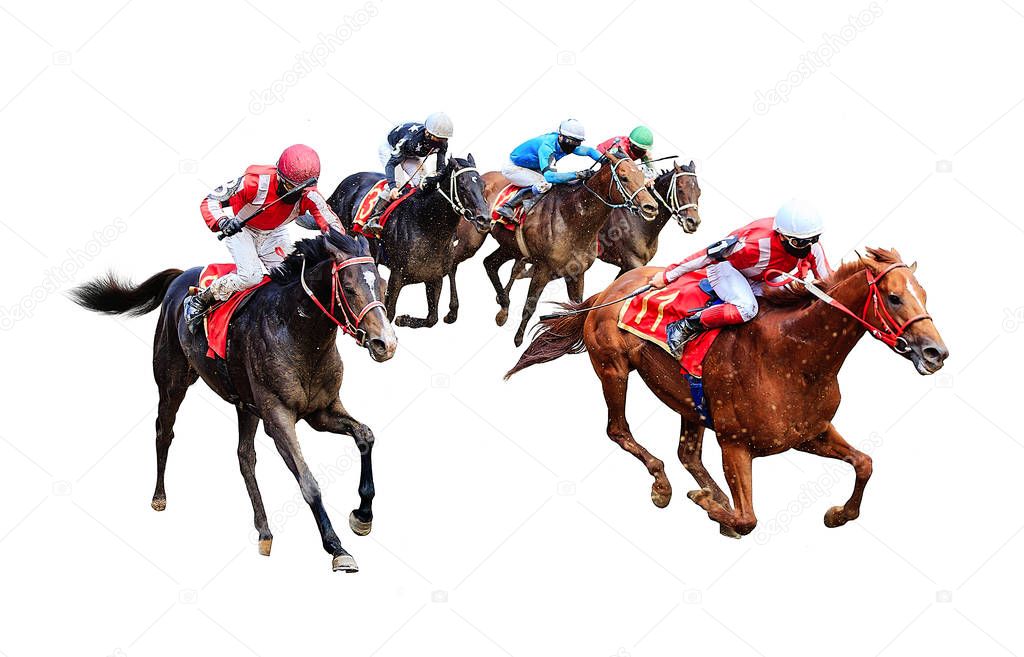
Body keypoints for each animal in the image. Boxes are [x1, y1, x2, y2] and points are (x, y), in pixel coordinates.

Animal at [69, 229, 395, 568]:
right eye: (349, 287)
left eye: (383, 285)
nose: (386, 343)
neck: (298, 331)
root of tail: (180, 277)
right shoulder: (278, 417)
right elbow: (309, 482)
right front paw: (337, 548)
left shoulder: (322, 411)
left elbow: (365, 435)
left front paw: (363, 515)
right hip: (172, 382)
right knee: (164, 431)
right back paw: (159, 497)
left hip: (245, 404)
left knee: (244, 456)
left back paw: (264, 531)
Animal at [448, 151, 655, 345]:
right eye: (624, 177)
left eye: (642, 175)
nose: (651, 206)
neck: (573, 219)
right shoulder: (543, 269)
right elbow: (529, 307)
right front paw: (518, 340)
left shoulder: (577, 273)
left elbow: (577, 307)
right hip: (471, 240)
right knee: (453, 263)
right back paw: (452, 312)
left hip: (510, 247)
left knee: (489, 263)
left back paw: (503, 308)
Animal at [507, 247, 946, 536]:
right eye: (894, 297)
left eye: (925, 295)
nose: (936, 352)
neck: (794, 357)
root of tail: (606, 292)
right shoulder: (735, 443)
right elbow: (748, 519)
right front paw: (708, 504)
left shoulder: (809, 432)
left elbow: (865, 463)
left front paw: (838, 514)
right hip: (612, 368)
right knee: (619, 430)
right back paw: (665, 486)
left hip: (688, 401)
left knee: (686, 452)